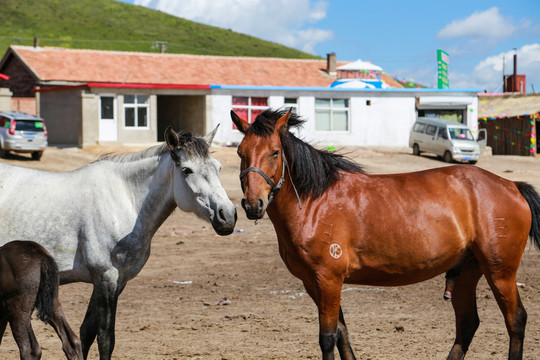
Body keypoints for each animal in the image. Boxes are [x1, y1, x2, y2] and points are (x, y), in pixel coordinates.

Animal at [0, 126, 238, 358]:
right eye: (187, 170)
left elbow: (86, 333)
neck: (125, 199)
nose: (227, 215)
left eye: (218, 167)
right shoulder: (107, 279)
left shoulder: (112, 282)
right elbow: (105, 339)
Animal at [232, 108, 540, 358]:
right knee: (467, 323)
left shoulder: (328, 280)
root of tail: (512, 186)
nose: (252, 205)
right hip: (468, 271)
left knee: (516, 320)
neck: (315, 202)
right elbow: (343, 334)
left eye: (275, 152)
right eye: (241, 153)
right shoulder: (314, 284)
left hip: (500, 272)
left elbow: (328, 338)